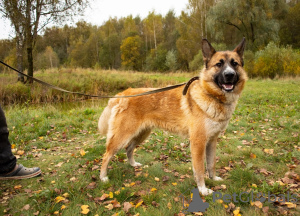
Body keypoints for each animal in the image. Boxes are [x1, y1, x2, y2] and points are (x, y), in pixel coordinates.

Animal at [97, 38, 247, 196]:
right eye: (219, 64)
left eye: (234, 63)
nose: (230, 75)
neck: (212, 95)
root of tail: (123, 94)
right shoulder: (198, 142)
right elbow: (200, 169)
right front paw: (203, 189)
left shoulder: (212, 140)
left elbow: (211, 164)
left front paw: (213, 179)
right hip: (122, 136)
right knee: (107, 155)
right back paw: (103, 177)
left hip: (141, 134)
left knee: (129, 148)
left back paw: (133, 165)